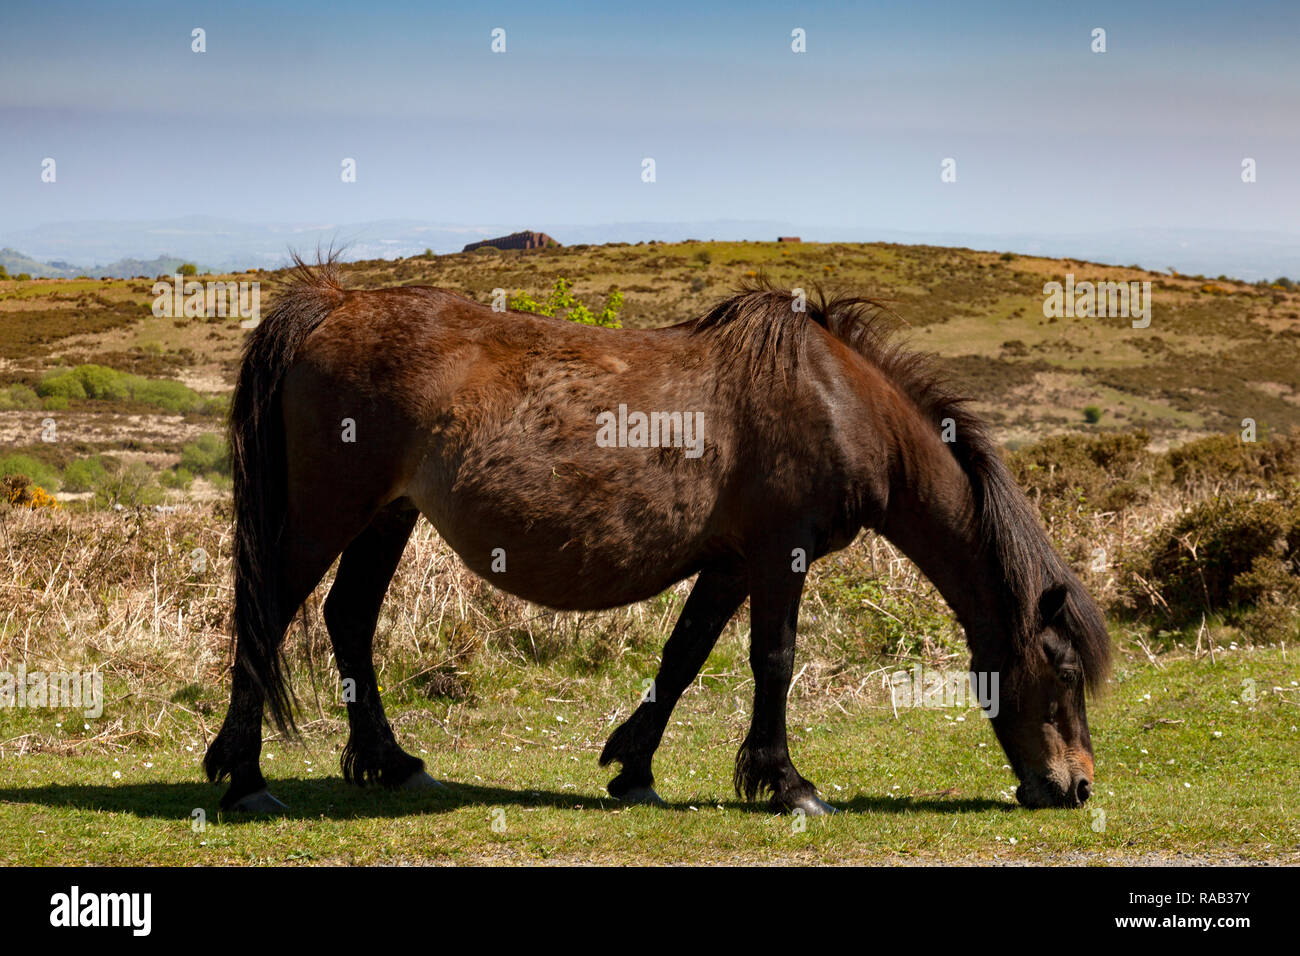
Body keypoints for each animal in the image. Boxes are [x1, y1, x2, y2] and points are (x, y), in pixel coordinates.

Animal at [208, 260, 1112, 816]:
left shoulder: (732, 563)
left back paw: (391, 762)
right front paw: (787, 784)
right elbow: (772, 660)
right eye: (1063, 673)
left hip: (385, 517)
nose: (1076, 787)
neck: (838, 401)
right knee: (268, 619)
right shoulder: (779, 555)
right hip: (327, 513)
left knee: (348, 620)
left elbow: (683, 657)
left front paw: (633, 768)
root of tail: (332, 302)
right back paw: (244, 777)